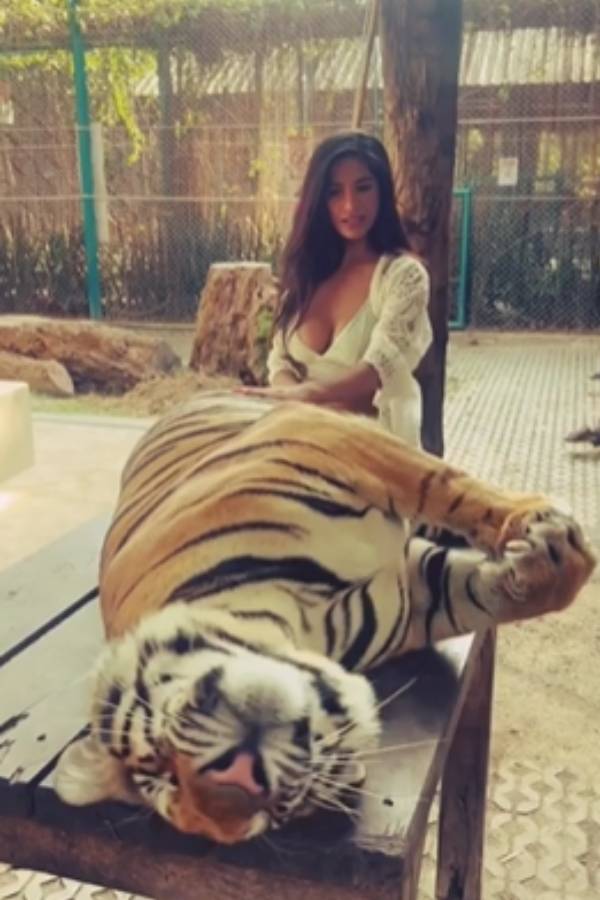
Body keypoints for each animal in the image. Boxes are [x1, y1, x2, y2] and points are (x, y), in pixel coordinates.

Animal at [54, 392, 596, 844]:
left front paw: (546, 534)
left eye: (159, 759)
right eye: (275, 813)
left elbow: (442, 483)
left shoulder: (325, 436)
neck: (299, 626)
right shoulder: (414, 597)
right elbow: (476, 592)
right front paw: (542, 557)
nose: (238, 782)